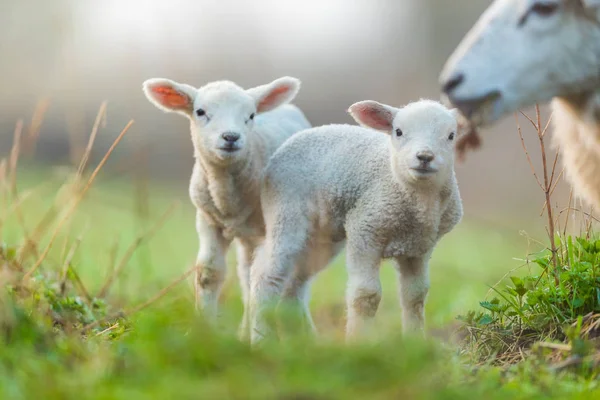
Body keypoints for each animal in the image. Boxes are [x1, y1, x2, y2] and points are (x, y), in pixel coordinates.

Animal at [248, 97, 464, 344]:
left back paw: (304, 339)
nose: (425, 157)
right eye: (398, 131)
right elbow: (366, 295)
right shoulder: (365, 229)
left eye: (451, 135)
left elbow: (416, 296)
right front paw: (358, 343)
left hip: (321, 238)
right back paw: (261, 338)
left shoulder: (419, 248)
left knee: (294, 284)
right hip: (286, 212)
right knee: (267, 274)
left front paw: (414, 343)